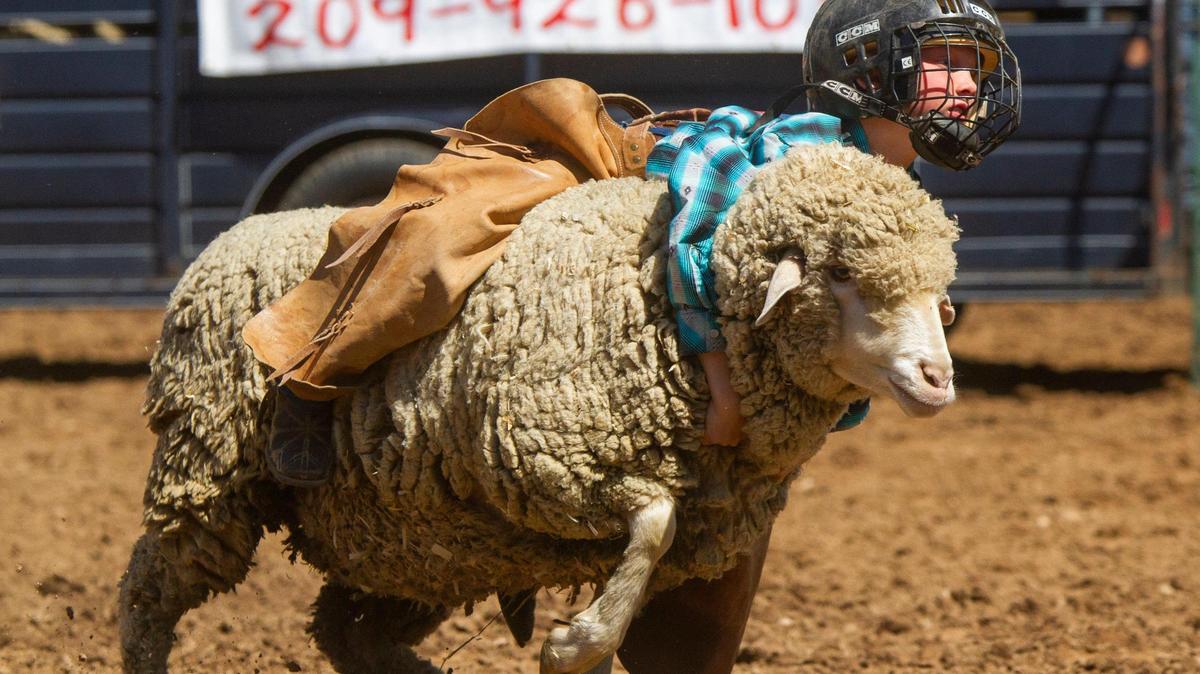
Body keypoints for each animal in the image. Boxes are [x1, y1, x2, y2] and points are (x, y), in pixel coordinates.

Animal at [119, 142, 959, 674]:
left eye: (938, 286)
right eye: (842, 273)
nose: (937, 378)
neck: (679, 307)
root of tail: (229, 235)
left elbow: (650, 552)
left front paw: (582, 639)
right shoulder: (548, 458)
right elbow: (654, 523)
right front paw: (572, 642)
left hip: (414, 536)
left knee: (342, 630)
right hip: (210, 468)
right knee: (149, 594)